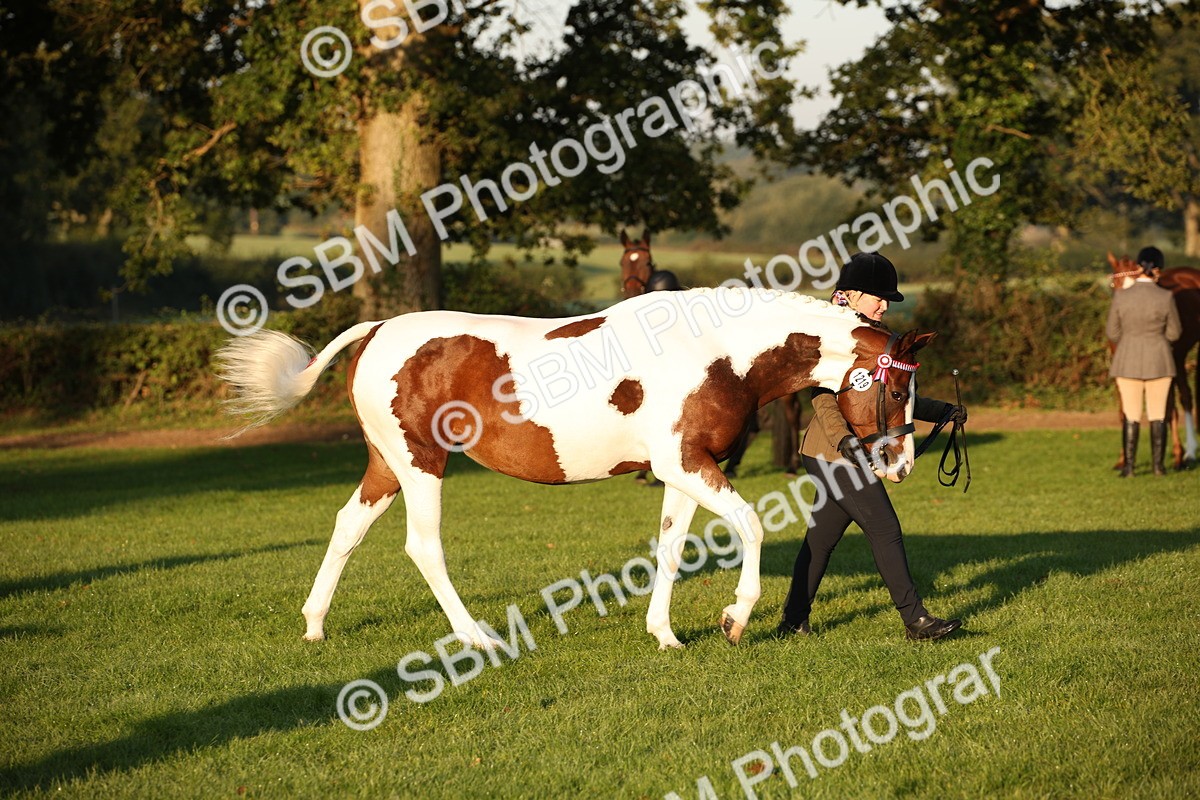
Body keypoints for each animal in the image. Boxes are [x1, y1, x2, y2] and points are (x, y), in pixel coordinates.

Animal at [215, 287, 934, 651]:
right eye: (898, 388)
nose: (900, 466)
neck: (717, 349)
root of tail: (377, 330)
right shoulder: (686, 463)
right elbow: (753, 526)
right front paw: (734, 620)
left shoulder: (683, 470)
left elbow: (671, 547)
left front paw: (664, 634)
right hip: (421, 465)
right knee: (423, 547)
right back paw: (476, 637)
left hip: (388, 466)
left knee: (347, 527)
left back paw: (314, 625)